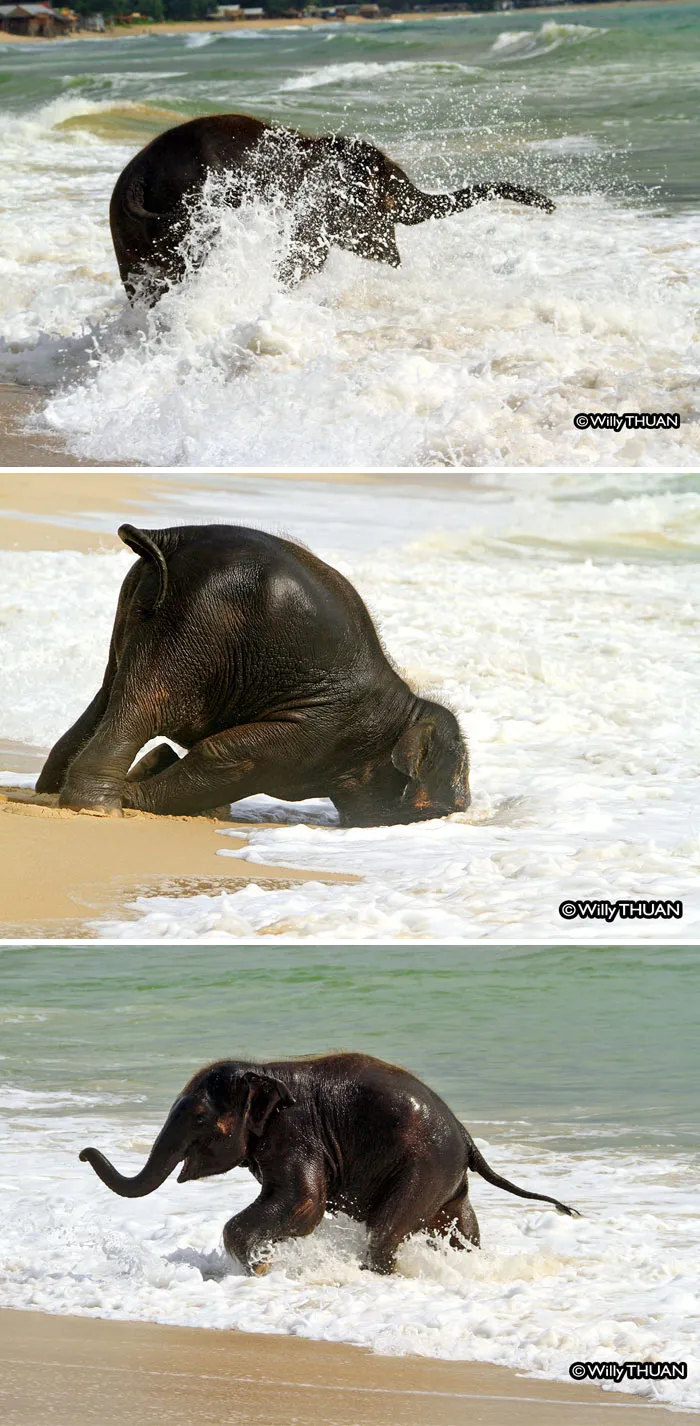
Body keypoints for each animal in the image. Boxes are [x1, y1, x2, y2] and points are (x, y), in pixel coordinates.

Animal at [36, 522, 470, 825]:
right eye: (448, 808)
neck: (405, 709)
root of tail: (172, 538)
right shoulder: (323, 728)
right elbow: (233, 757)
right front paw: (135, 793)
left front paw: (155, 775)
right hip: (196, 627)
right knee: (146, 704)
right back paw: (100, 808)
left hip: (140, 608)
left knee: (109, 693)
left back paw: (51, 793)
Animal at [79, 1053, 580, 1275]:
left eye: (200, 1117)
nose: (84, 1152)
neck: (266, 1069)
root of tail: (467, 1138)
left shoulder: (296, 1132)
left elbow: (304, 1205)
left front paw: (259, 1268)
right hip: (447, 1179)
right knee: (460, 1229)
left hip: (424, 1166)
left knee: (384, 1232)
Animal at [109, 112, 556, 302]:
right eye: (385, 197)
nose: (550, 205)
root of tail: (138, 178)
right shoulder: (320, 202)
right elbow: (311, 256)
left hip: (126, 237)